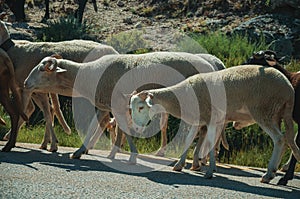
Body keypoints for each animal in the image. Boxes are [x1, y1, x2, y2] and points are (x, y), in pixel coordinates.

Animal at [0, 19, 118, 152]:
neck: (15, 50)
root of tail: (115, 51)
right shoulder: (33, 89)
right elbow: (43, 111)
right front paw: (48, 143)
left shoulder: (28, 89)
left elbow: (29, 110)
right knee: (106, 120)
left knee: (105, 120)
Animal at [24, 51, 225, 163]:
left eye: (42, 69)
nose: (25, 83)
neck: (89, 75)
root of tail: (212, 66)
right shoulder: (104, 105)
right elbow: (94, 127)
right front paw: (80, 151)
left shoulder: (118, 104)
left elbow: (123, 130)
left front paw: (130, 155)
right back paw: (199, 161)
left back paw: (196, 160)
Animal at [129, 64, 300, 183]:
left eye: (141, 107)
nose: (136, 128)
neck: (182, 96)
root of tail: (289, 89)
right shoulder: (199, 119)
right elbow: (189, 140)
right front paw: (179, 164)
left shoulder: (211, 118)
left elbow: (210, 142)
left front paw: (209, 171)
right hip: (277, 114)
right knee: (286, 140)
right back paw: (274, 172)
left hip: (264, 111)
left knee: (279, 139)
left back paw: (268, 174)